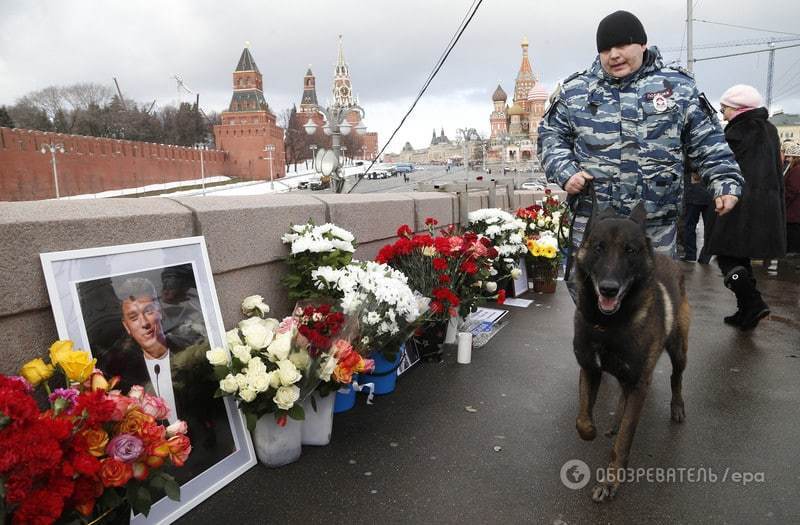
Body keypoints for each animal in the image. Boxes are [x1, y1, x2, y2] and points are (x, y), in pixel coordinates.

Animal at [572, 203, 692, 502]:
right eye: (599, 247)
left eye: (630, 250)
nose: (608, 289)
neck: (608, 325)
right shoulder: (589, 369)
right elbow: (583, 419)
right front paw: (592, 431)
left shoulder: (640, 382)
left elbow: (625, 439)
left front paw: (611, 482)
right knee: (622, 395)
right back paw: (615, 419)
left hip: (679, 351)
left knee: (676, 378)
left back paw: (677, 407)